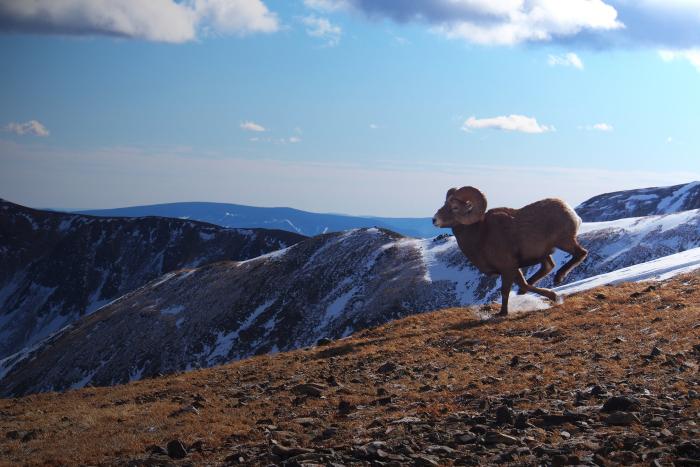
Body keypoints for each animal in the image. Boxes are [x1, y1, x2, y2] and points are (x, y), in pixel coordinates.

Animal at [432, 188, 584, 316]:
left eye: (455, 208)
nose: (434, 220)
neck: (481, 234)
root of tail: (571, 212)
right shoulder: (512, 269)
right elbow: (523, 284)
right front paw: (553, 296)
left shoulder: (508, 268)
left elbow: (505, 291)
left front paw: (502, 313)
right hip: (544, 254)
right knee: (548, 266)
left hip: (564, 242)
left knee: (580, 254)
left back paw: (558, 277)